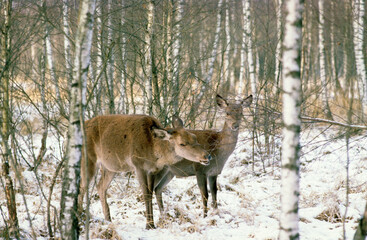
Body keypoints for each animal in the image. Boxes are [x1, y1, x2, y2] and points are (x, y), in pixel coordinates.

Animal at [79, 114, 213, 229]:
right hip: (88, 159)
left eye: (194, 137)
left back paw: (108, 220)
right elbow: (146, 194)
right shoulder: (139, 166)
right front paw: (149, 225)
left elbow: (150, 192)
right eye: (182, 144)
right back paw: (81, 217)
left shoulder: (152, 170)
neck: (154, 152)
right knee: (82, 187)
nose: (207, 156)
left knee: (100, 186)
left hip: (111, 167)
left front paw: (152, 223)